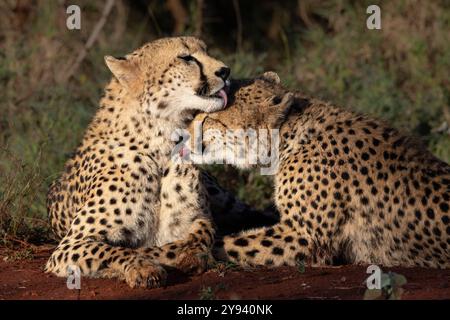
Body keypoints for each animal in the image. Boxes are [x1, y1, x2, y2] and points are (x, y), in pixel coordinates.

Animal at [44, 37, 239, 288]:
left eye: (206, 51)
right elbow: (116, 250)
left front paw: (188, 253)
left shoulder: (199, 217)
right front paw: (143, 267)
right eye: (186, 57)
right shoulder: (71, 245)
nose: (226, 71)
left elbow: (203, 230)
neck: (160, 145)